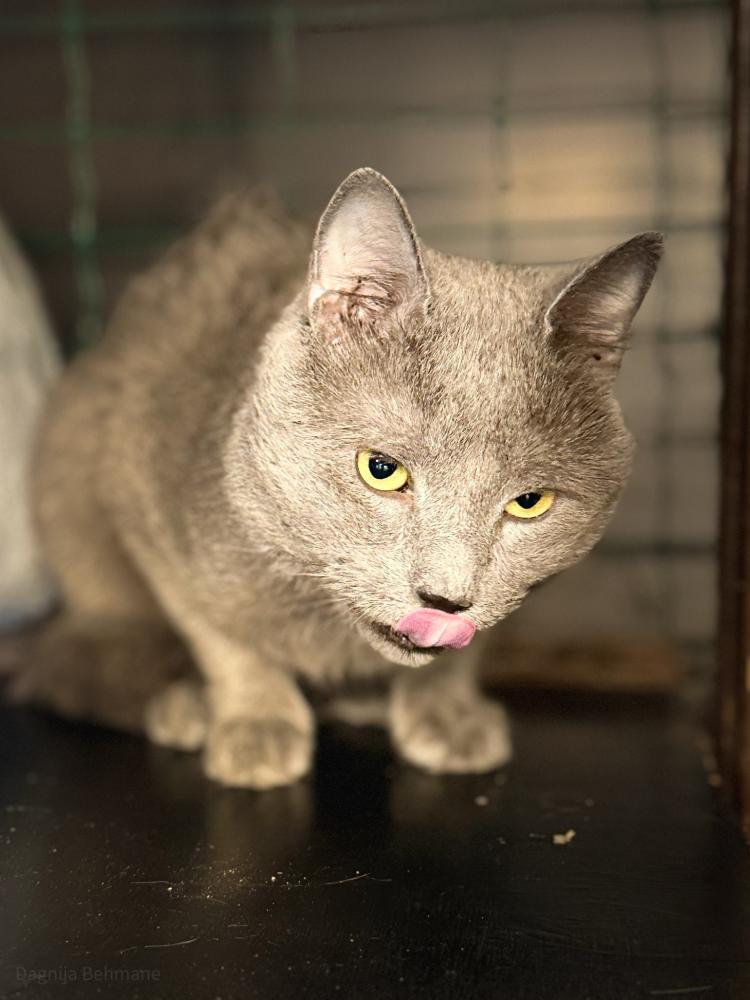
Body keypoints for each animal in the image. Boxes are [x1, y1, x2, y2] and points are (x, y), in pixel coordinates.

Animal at [12, 169, 662, 788]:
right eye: (382, 470)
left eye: (529, 502)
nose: (444, 600)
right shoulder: (143, 495)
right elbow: (221, 633)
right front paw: (257, 725)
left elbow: (464, 654)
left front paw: (447, 716)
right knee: (66, 659)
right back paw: (185, 704)